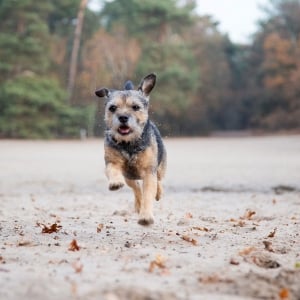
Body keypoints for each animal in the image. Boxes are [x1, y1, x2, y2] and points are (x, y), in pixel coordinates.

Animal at [95, 74, 166, 226]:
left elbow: (149, 193)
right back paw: (137, 204)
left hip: (161, 167)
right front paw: (115, 183)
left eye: (135, 107)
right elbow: (113, 170)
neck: (128, 144)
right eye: (112, 108)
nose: (123, 117)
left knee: (158, 180)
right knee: (136, 188)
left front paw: (146, 217)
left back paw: (158, 193)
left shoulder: (149, 171)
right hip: (129, 178)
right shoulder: (111, 162)